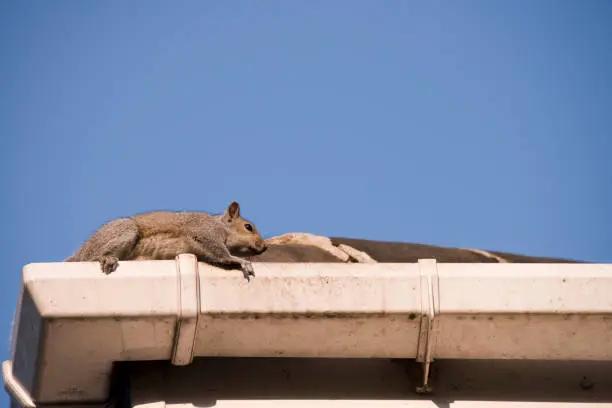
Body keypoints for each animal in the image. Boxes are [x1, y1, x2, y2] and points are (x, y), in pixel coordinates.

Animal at [65, 202, 266, 280]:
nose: (264, 247)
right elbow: (220, 253)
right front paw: (240, 261)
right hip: (124, 231)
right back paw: (107, 258)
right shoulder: (203, 231)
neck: (221, 226)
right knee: (93, 257)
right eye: (248, 227)